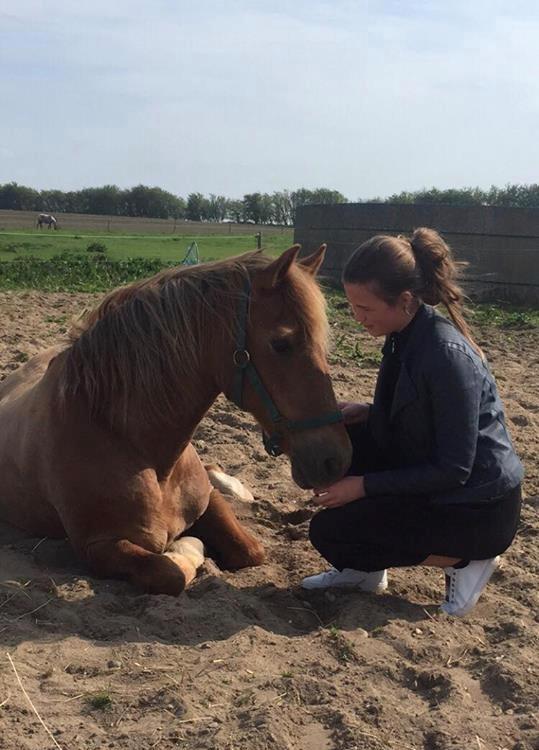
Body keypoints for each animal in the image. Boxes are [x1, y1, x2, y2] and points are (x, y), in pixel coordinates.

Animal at [0, 244, 354, 596]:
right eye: (281, 344)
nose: (335, 459)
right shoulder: (97, 546)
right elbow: (170, 572)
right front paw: (186, 548)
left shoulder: (207, 501)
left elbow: (251, 550)